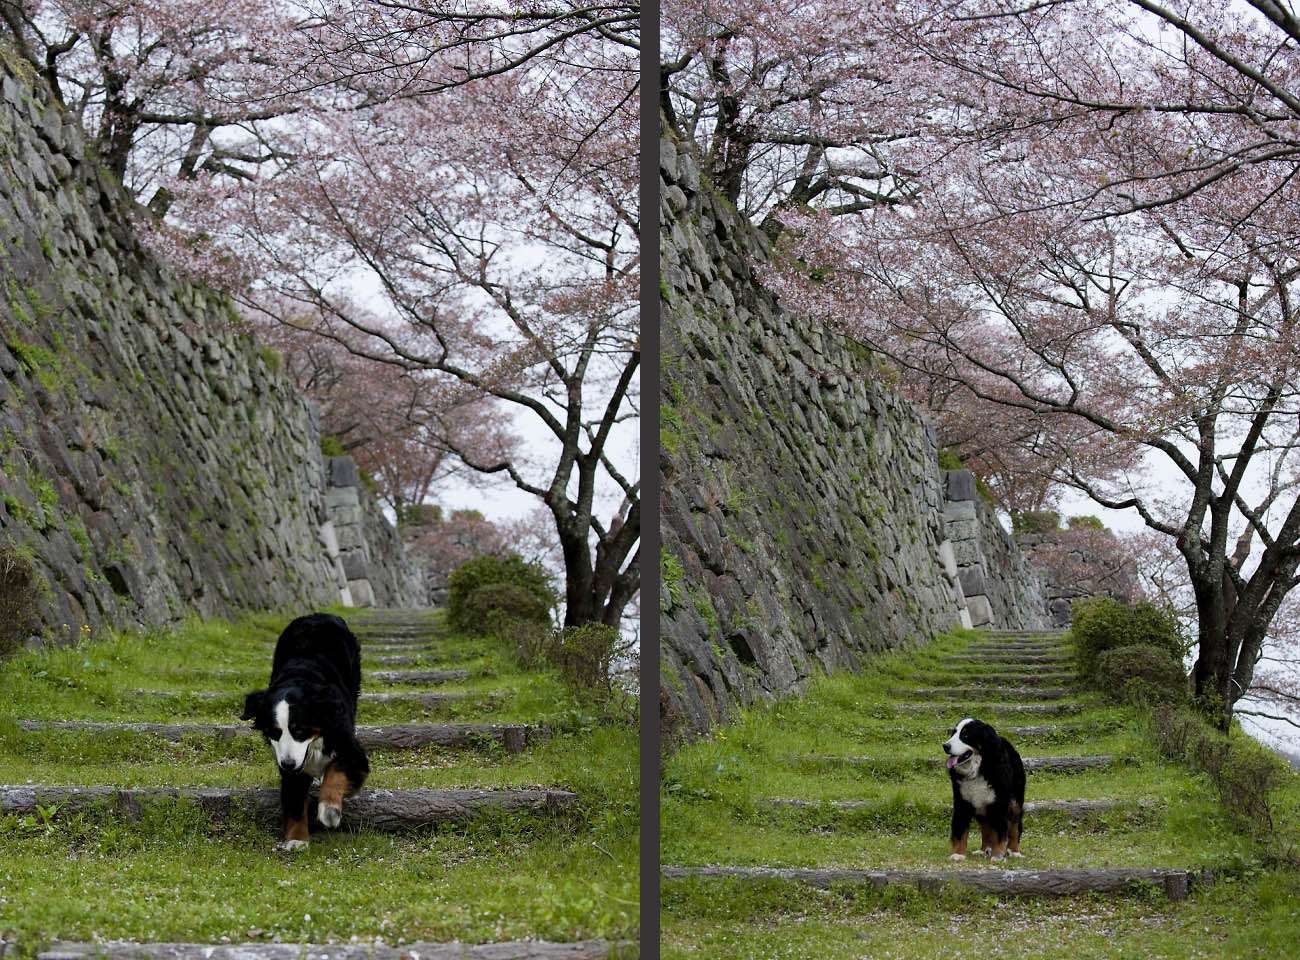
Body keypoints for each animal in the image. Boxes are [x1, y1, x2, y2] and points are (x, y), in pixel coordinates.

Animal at [240, 608, 369, 848]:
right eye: (275, 732)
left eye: (299, 730)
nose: (289, 763)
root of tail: (319, 614)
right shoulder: (286, 761)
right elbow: (294, 799)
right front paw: (297, 840)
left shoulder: (351, 751)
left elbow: (336, 772)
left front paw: (329, 810)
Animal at [946, 712, 1024, 858]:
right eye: (954, 733)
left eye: (965, 735)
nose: (945, 746)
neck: (978, 769)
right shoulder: (962, 802)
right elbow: (960, 831)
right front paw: (958, 854)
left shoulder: (999, 803)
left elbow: (999, 833)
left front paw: (997, 855)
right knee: (986, 828)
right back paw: (984, 850)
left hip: (1015, 802)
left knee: (1014, 827)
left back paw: (1014, 851)